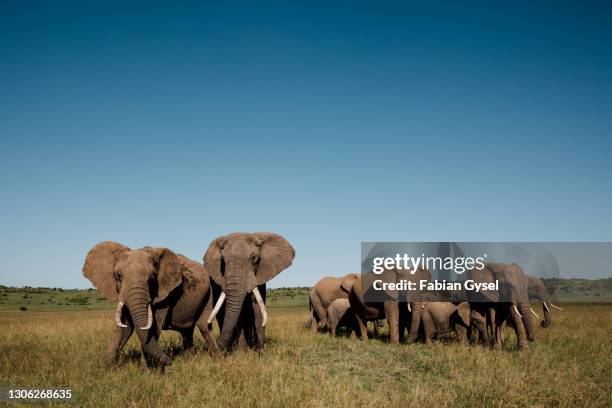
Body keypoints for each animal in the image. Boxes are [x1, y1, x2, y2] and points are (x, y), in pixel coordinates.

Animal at [80, 241, 216, 368]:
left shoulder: (164, 295)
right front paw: (113, 370)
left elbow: (153, 327)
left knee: (204, 326)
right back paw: (189, 359)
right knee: (187, 331)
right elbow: (125, 326)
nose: (170, 360)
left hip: (208, 292)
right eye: (118, 275)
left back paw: (217, 358)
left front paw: (146, 372)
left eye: (151, 278)